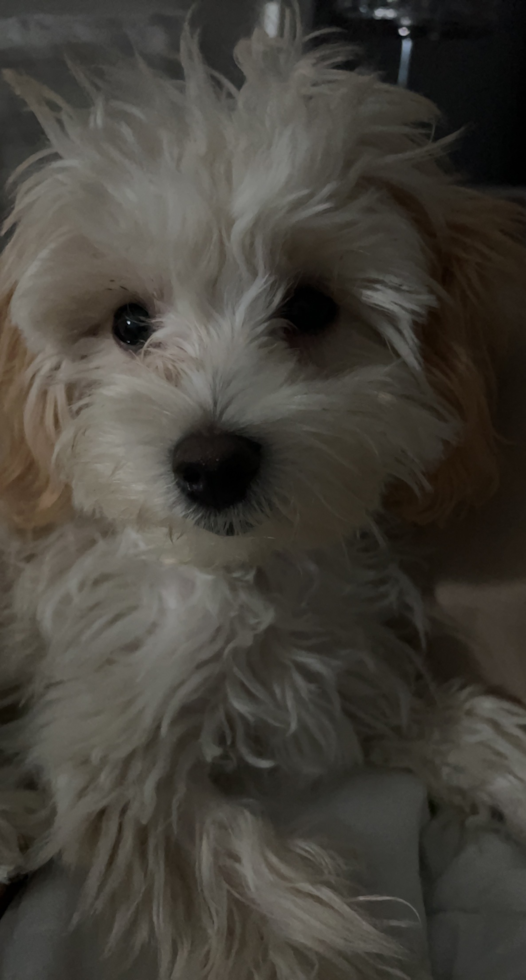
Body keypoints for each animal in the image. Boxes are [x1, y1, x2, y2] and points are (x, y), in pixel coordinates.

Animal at [1, 17, 526, 980]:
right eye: (128, 323)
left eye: (312, 308)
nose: (211, 464)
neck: (245, 574)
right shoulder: (114, 746)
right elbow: (245, 893)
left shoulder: (342, 655)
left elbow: (413, 700)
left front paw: (497, 758)